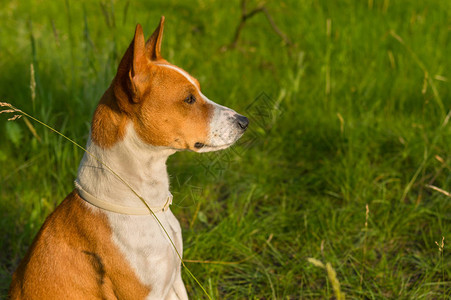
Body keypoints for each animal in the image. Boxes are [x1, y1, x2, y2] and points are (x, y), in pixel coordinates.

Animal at [9, 17, 251, 298]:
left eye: (199, 92)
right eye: (189, 99)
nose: (244, 122)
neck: (148, 205)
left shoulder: (175, 281)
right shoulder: (148, 293)